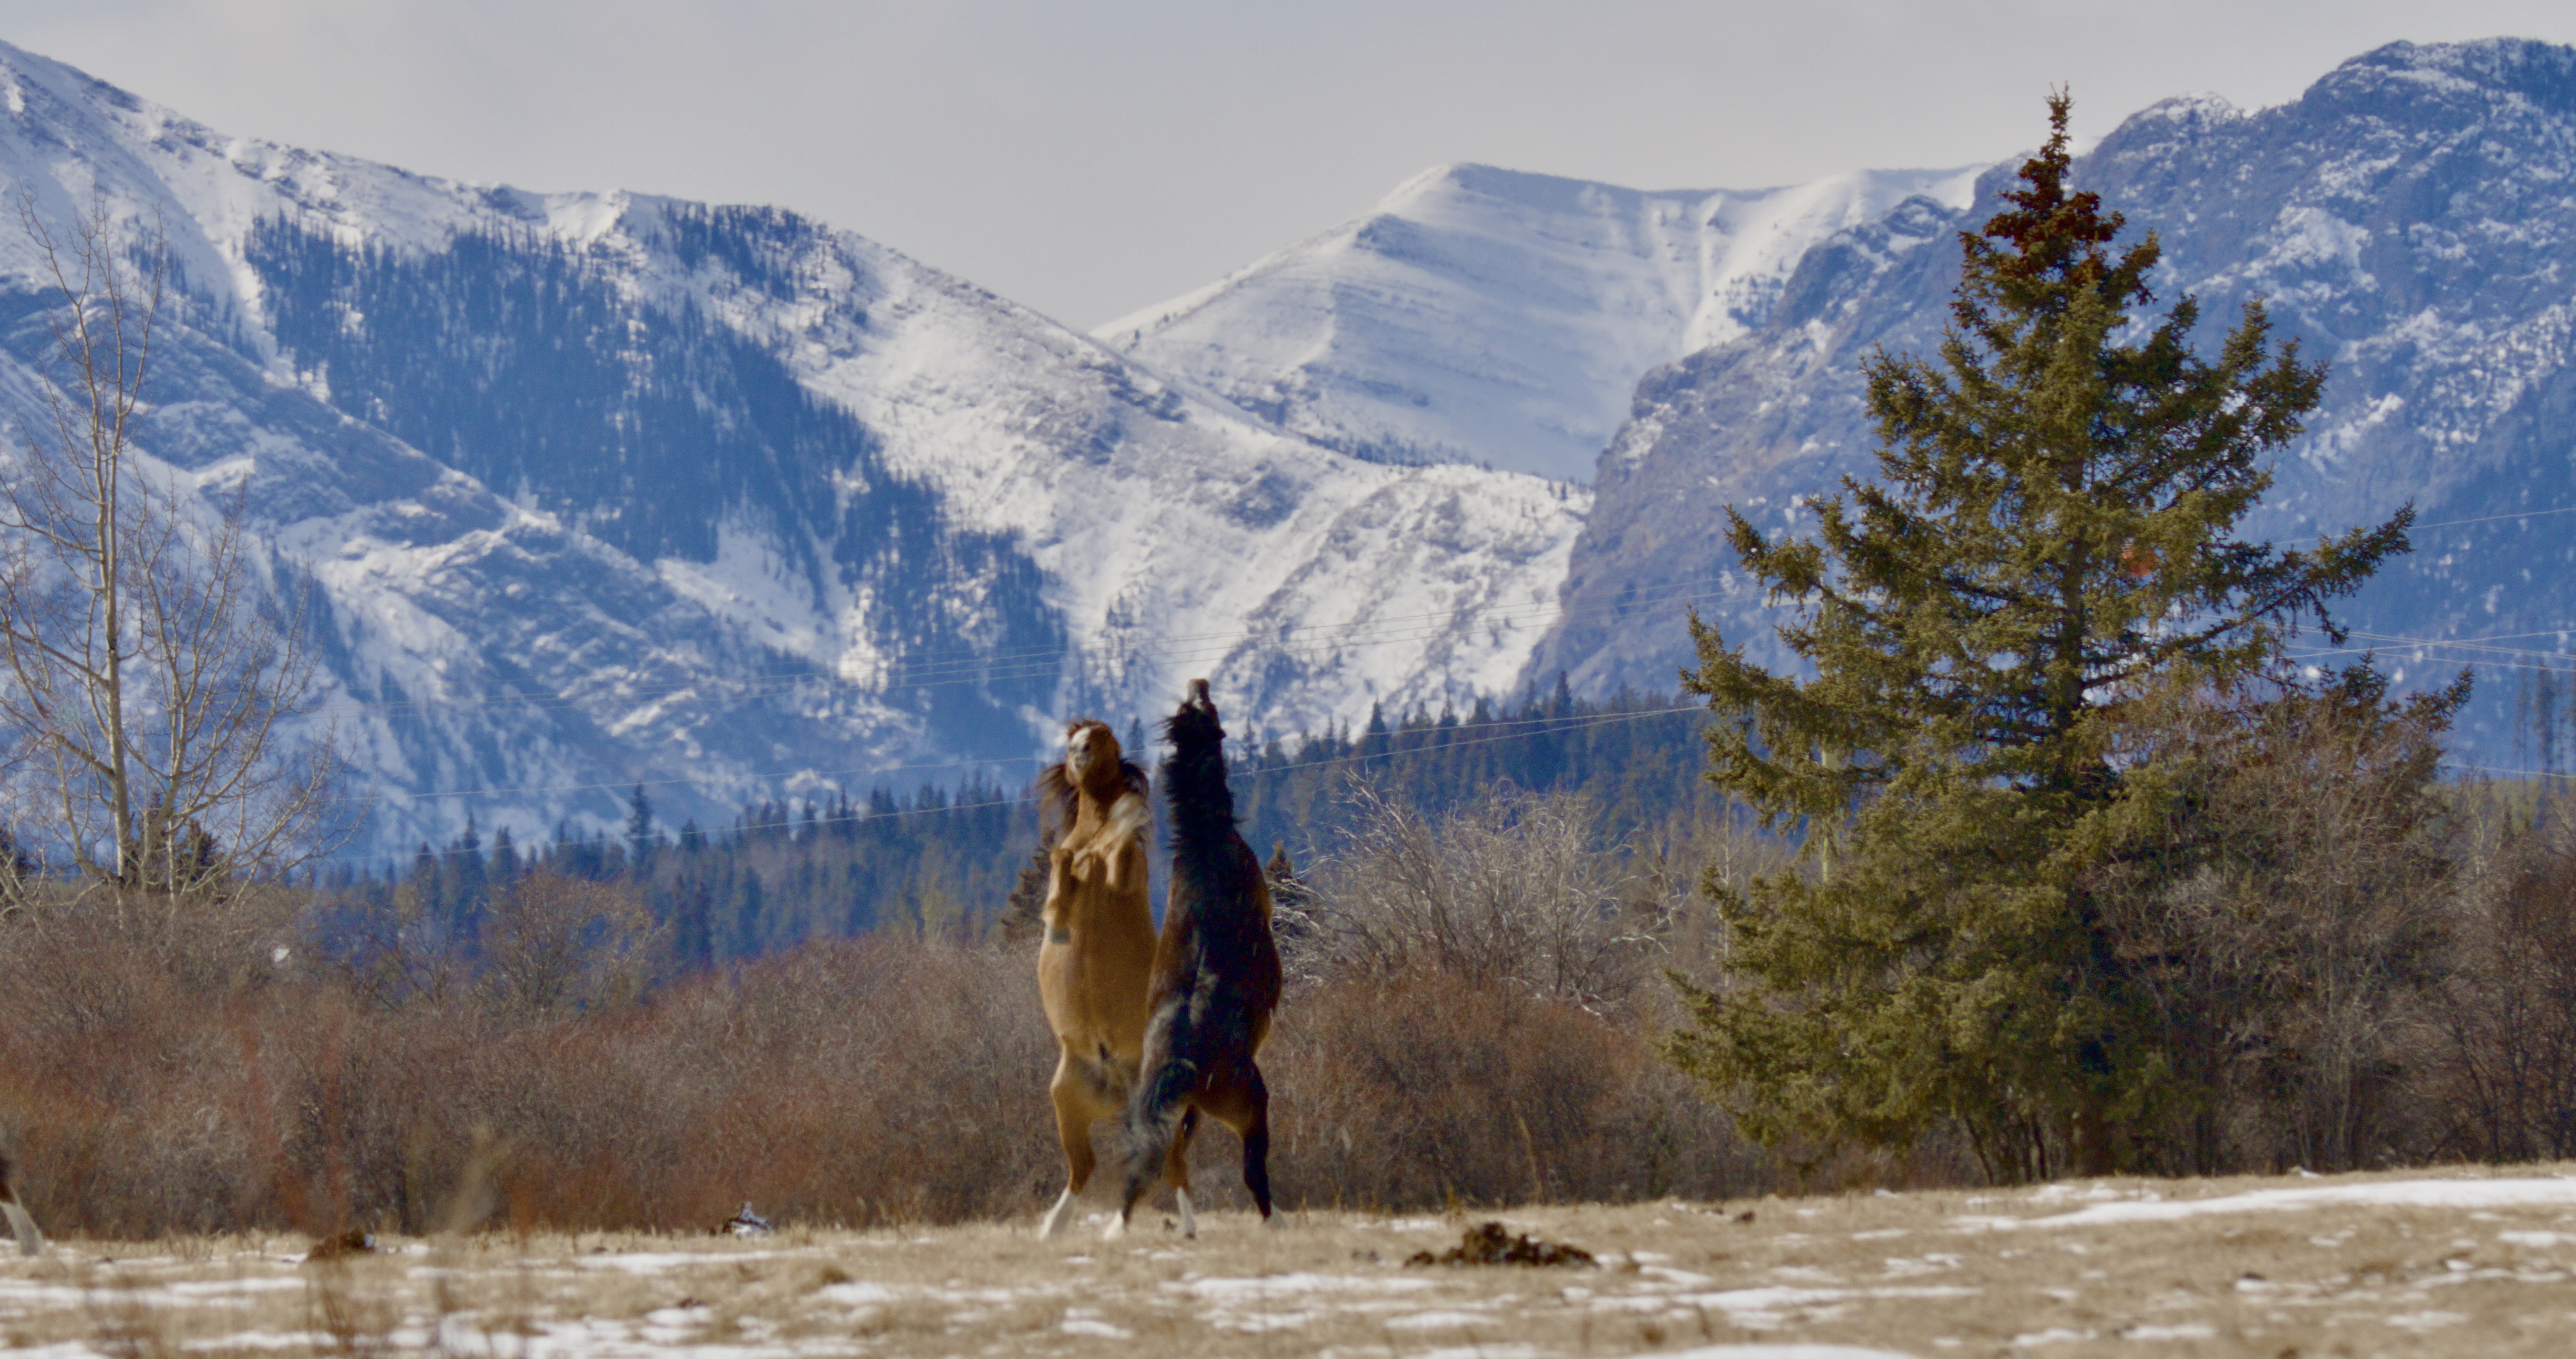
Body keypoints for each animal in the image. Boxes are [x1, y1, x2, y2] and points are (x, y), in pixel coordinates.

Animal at [1112, 679, 1283, 1238]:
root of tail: (1180, 1063)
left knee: (1166, 1161)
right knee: (1251, 1167)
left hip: (1181, 1112)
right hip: (1246, 1102)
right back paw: (1277, 1221)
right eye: (1206, 710)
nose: (1199, 682)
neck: (1206, 846)